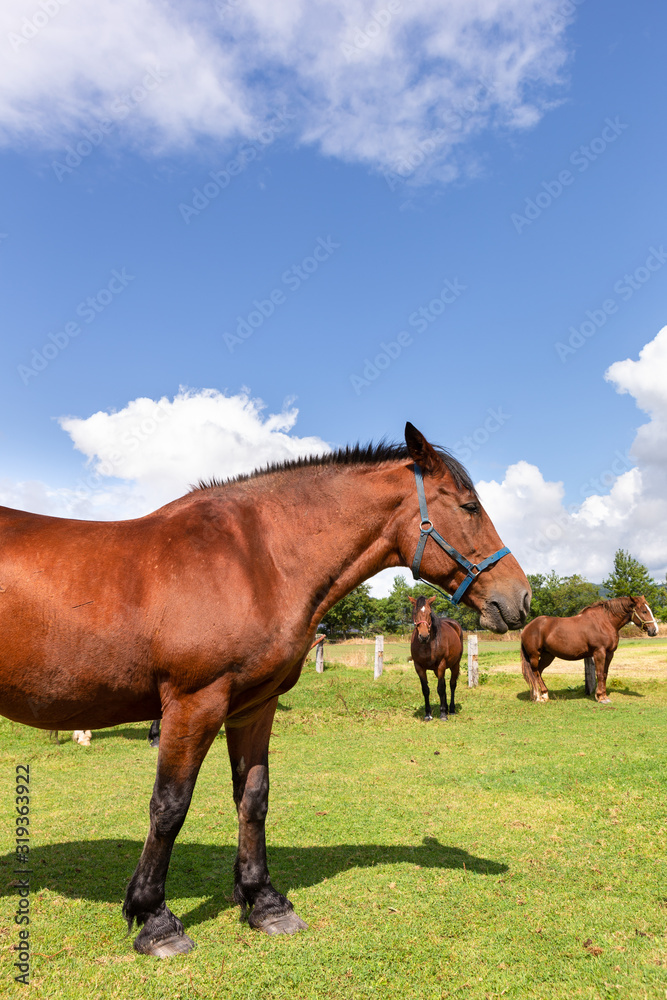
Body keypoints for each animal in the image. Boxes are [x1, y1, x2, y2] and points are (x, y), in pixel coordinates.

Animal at [0, 422, 530, 957]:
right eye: (469, 507)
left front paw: (265, 902)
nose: (520, 597)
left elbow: (253, 798)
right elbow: (169, 806)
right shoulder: (194, 704)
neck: (257, 560)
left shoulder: (253, 707)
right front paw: (154, 918)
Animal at [520, 594, 658, 703]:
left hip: (548, 655)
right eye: (644, 611)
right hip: (534, 655)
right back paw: (538, 697)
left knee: (538, 672)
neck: (605, 622)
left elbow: (604, 674)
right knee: (535, 672)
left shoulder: (609, 653)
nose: (654, 630)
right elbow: (599, 674)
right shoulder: (599, 652)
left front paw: (603, 695)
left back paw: (542, 695)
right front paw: (601, 697)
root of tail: (527, 628)